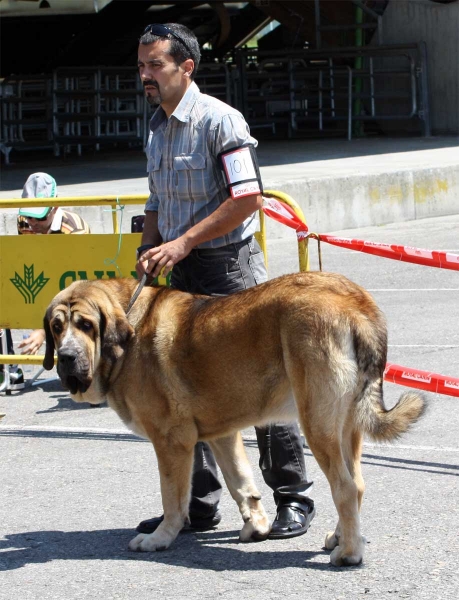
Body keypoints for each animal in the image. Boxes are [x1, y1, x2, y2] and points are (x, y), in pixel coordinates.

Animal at [43, 274, 428, 564]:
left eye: (87, 325)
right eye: (57, 327)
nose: (66, 357)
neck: (127, 334)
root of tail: (356, 303)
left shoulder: (172, 441)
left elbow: (173, 497)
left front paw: (159, 538)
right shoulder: (220, 435)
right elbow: (240, 483)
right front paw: (256, 526)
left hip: (317, 423)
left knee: (345, 487)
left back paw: (349, 553)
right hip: (347, 425)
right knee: (357, 484)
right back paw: (341, 537)